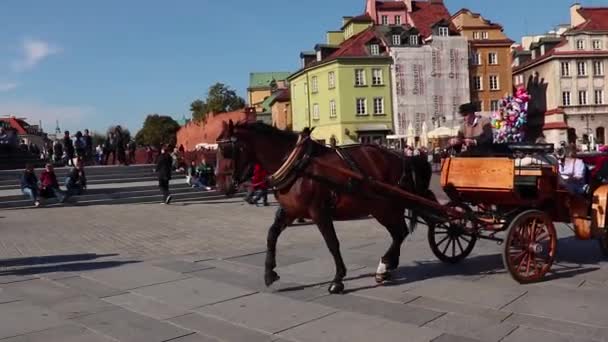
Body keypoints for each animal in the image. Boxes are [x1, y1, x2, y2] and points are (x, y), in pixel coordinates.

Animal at [216, 121, 434, 294]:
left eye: (226, 150)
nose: (222, 184)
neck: (298, 166)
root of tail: (402, 157)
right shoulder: (290, 211)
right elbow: (272, 235)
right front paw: (269, 273)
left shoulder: (319, 212)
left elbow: (332, 243)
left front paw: (338, 280)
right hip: (382, 207)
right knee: (399, 233)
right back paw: (386, 268)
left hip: (385, 207)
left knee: (400, 233)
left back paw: (385, 265)